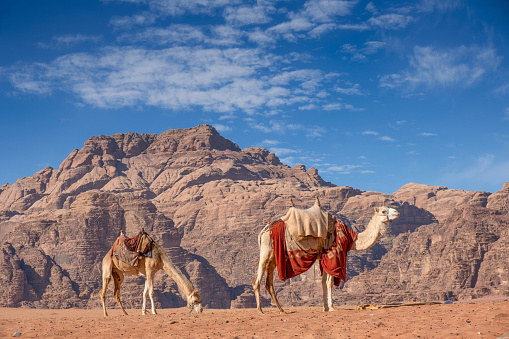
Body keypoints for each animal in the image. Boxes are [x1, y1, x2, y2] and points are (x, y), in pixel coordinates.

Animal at [252, 198, 398, 314]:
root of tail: (263, 230)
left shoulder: (323, 256)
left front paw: (325, 307)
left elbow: (323, 282)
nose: (397, 212)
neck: (351, 238)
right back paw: (260, 310)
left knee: (269, 283)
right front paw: (332, 307)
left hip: (274, 257)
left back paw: (281, 310)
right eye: (383, 211)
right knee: (257, 281)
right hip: (266, 252)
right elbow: (329, 282)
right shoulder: (334, 253)